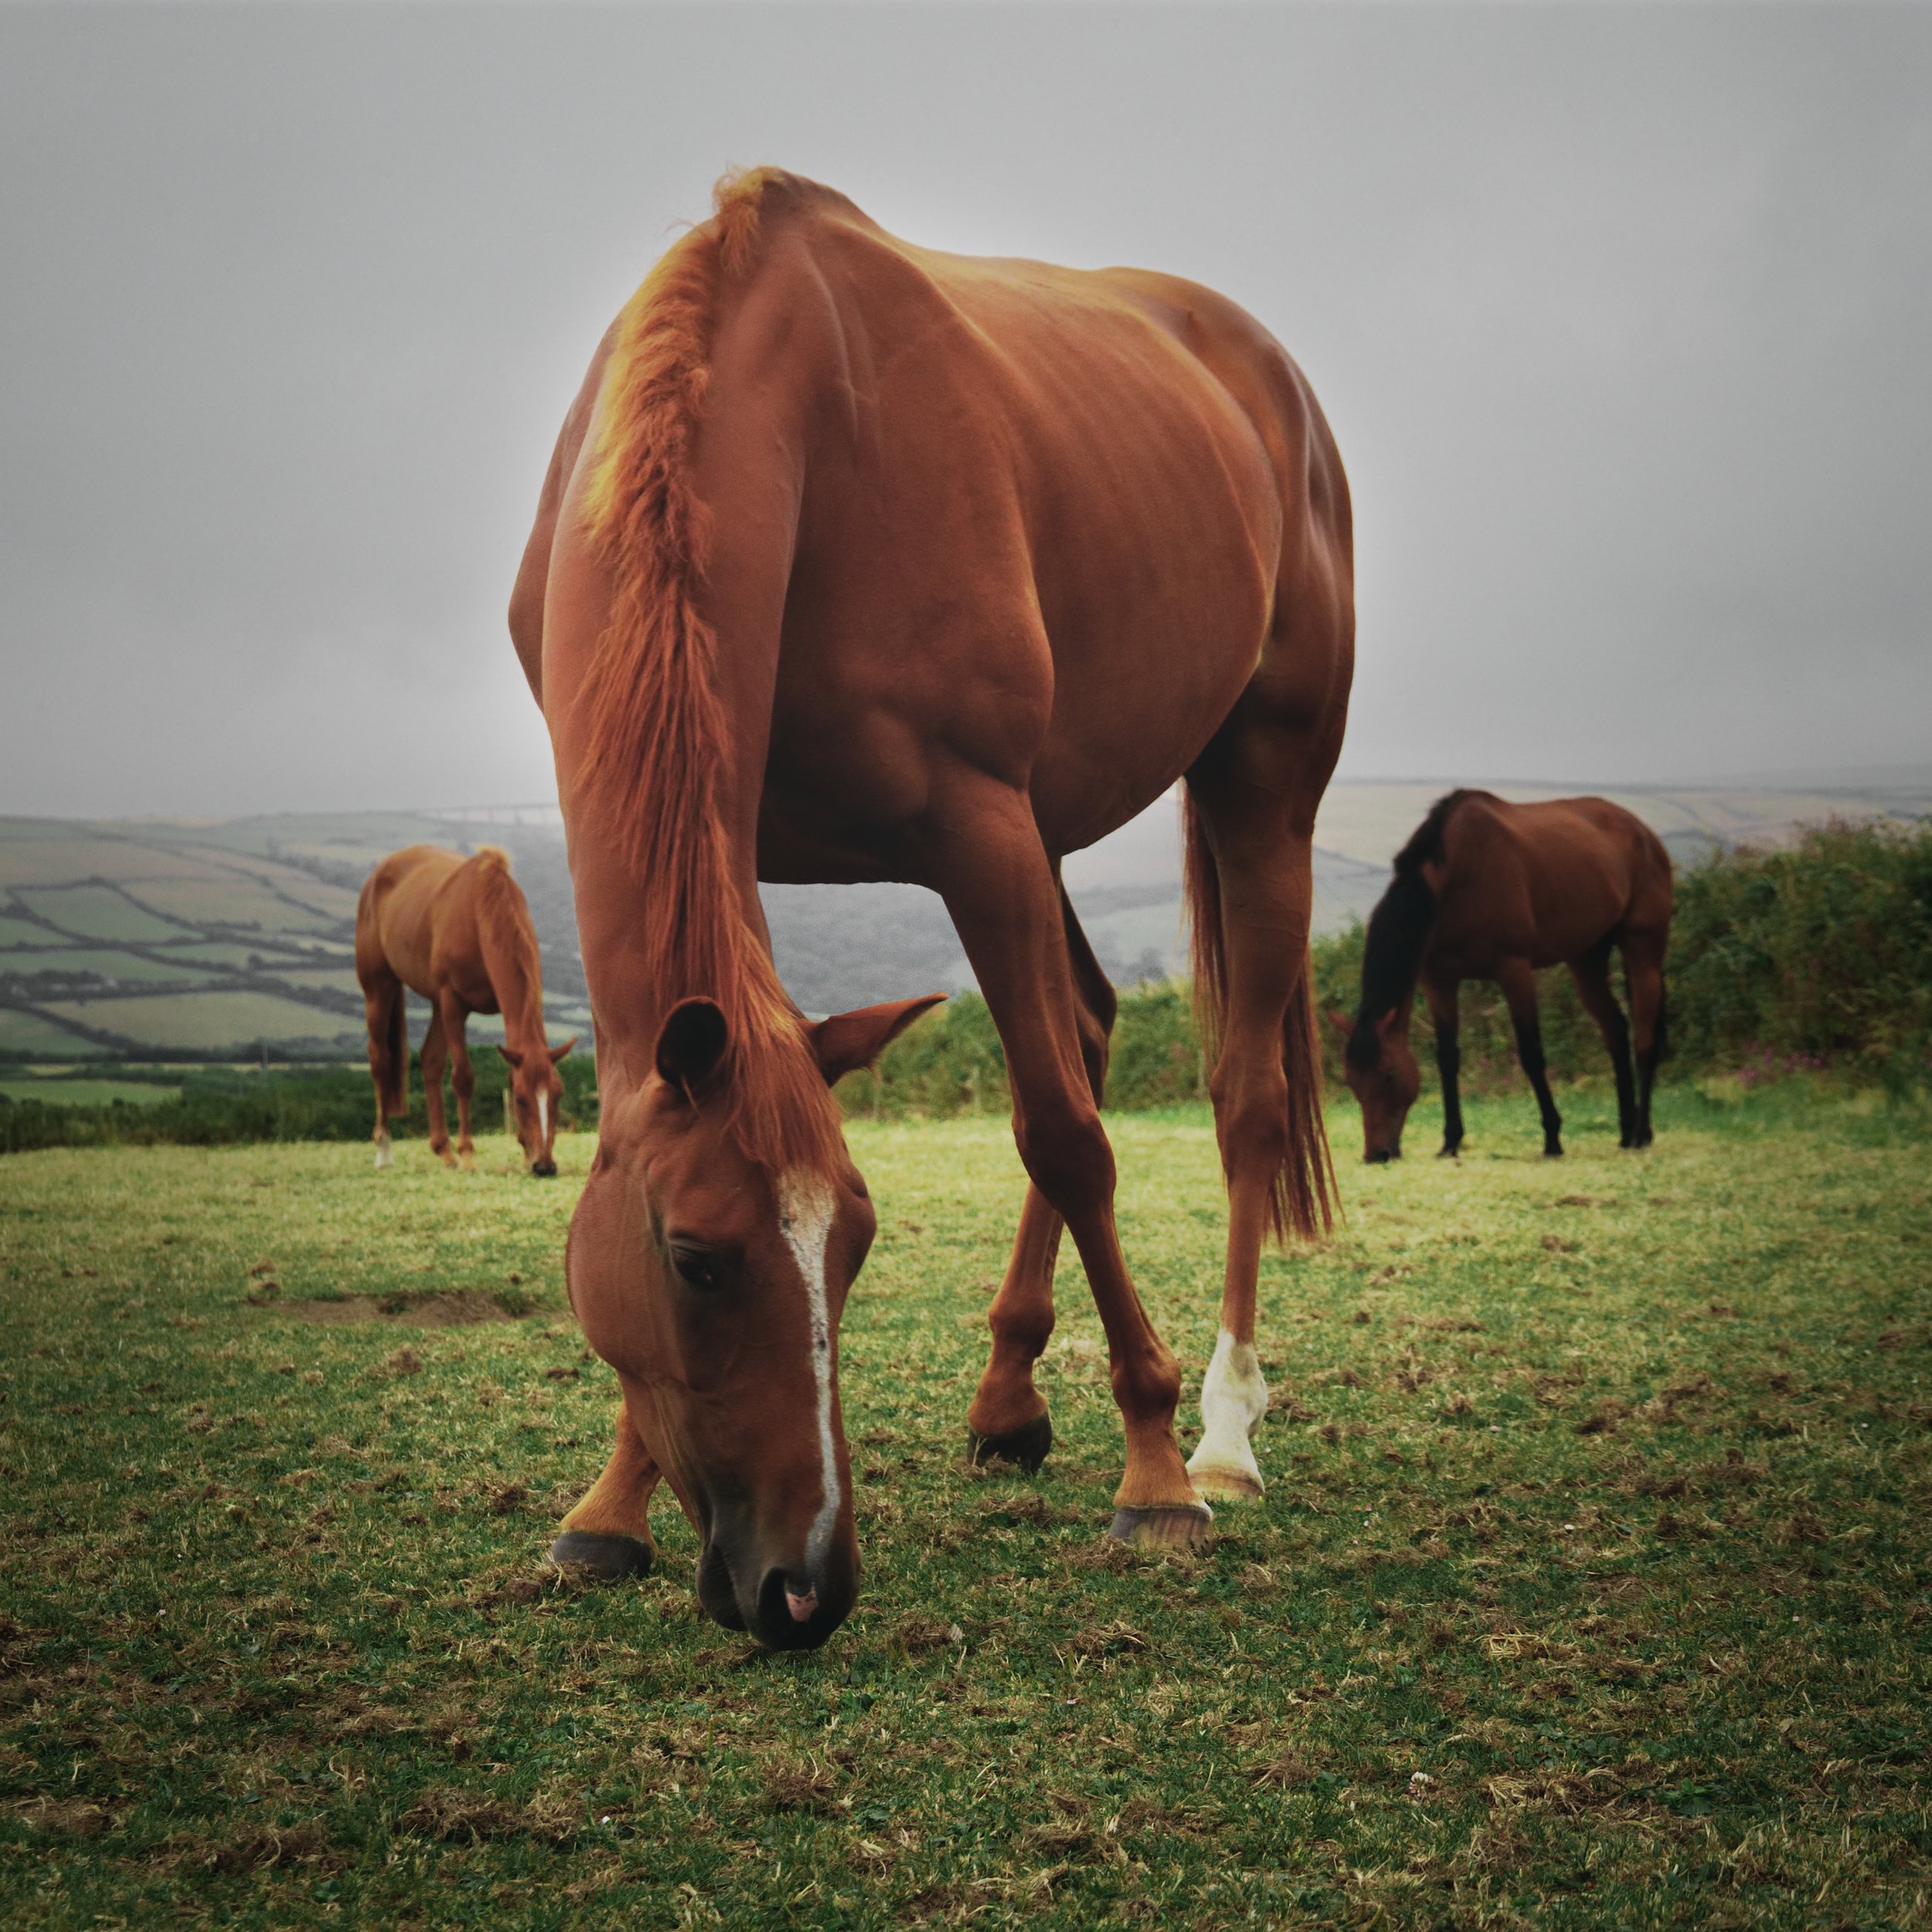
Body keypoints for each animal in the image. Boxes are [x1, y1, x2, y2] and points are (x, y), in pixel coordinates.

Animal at [354, 845, 577, 1175]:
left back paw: (444, 1151)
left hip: (433, 1003)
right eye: (521, 1100)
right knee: (380, 1060)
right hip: (380, 989)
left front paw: (524, 1153)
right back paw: (384, 1149)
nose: (545, 1166)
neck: (480, 915)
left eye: (557, 1096)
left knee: (430, 1061)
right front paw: (469, 1155)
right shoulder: (453, 1003)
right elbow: (463, 1077)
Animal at [510, 169, 1353, 1649]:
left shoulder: (979, 826)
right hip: (1057, 822)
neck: (789, 405)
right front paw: (608, 1505)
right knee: (1088, 1019)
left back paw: (1221, 1432)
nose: (805, 1586)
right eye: (700, 1260)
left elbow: (1067, 1137)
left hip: (1256, 782)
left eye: (856, 1247)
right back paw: (1009, 1397)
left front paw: (1151, 1479)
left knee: (1236, 1096)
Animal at [1330, 790, 1671, 1163]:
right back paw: (1626, 1131)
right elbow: (1447, 1058)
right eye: (1352, 1081)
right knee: (1616, 1032)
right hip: (1586, 961)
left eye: (1389, 1075)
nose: (1377, 1154)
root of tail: (1644, 833)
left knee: (1644, 1042)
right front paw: (1450, 1142)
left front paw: (1552, 1139)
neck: (1458, 877)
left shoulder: (1515, 972)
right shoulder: (1438, 982)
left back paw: (1639, 1133)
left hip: (1643, 954)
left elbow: (1532, 1054)